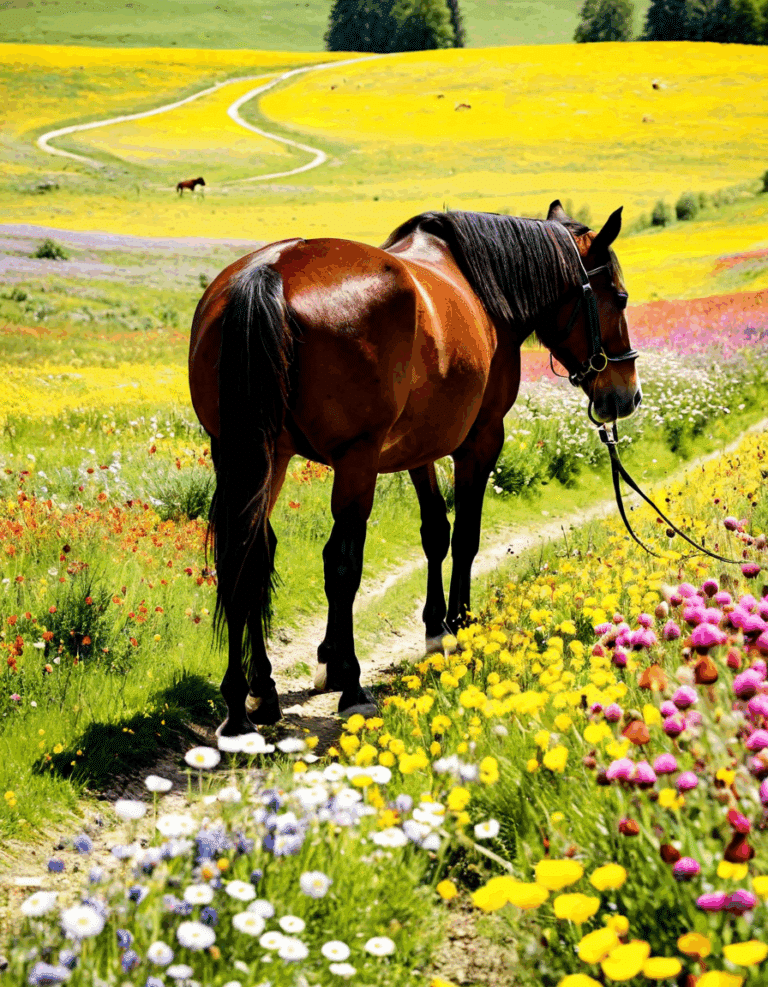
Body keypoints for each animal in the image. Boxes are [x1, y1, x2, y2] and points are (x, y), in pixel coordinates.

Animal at [188, 200, 642, 736]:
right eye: (620, 298)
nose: (626, 396)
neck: (486, 291)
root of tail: (269, 271)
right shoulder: (481, 440)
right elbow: (464, 536)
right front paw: (459, 626)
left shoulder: (418, 449)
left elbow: (435, 532)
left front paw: (428, 629)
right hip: (352, 460)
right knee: (340, 563)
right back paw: (351, 687)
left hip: (254, 455)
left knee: (248, 555)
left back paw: (251, 697)